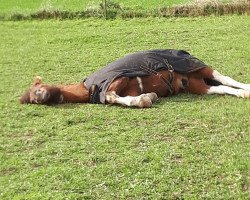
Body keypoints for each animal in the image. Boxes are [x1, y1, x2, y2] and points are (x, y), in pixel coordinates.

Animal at [20, 48, 249, 108]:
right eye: (31, 100)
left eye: (37, 88)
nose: (39, 97)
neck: (89, 87)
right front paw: (146, 97)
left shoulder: (117, 80)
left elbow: (111, 95)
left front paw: (144, 99)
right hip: (196, 85)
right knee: (220, 88)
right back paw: (243, 94)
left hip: (201, 69)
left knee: (225, 78)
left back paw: (246, 88)